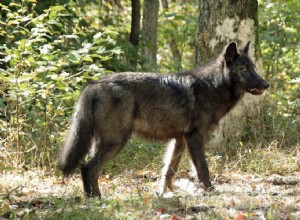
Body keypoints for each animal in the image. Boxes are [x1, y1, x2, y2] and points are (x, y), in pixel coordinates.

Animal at [58, 41, 270, 198]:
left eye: (253, 68)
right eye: (243, 69)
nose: (266, 84)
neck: (213, 87)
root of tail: (93, 85)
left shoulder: (180, 140)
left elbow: (169, 170)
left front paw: (165, 193)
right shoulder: (195, 138)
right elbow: (202, 168)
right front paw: (211, 191)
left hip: (104, 142)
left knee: (89, 169)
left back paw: (93, 197)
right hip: (115, 142)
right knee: (88, 168)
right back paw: (97, 199)